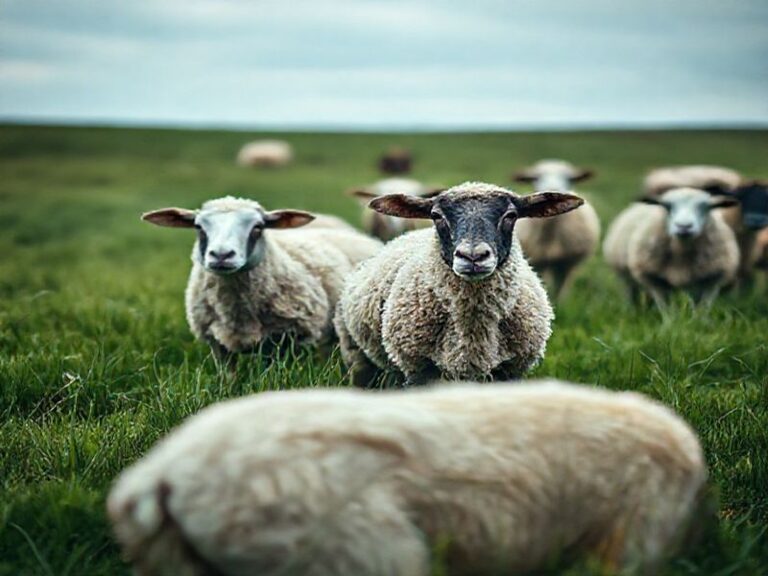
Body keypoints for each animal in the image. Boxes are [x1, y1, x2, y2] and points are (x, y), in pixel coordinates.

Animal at [334, 182, 583, 387]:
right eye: (436, 216)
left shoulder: (511, 370)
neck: (472, 329)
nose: (473, 256)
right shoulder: (418, 369)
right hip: (356, 355)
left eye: (511, 215)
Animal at [512, 159, 601, 299]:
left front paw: (559, 301)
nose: (552, 190)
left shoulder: (566, 264)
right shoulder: (538, 261)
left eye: (570, 179)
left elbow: (561, 287)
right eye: (535, 178)